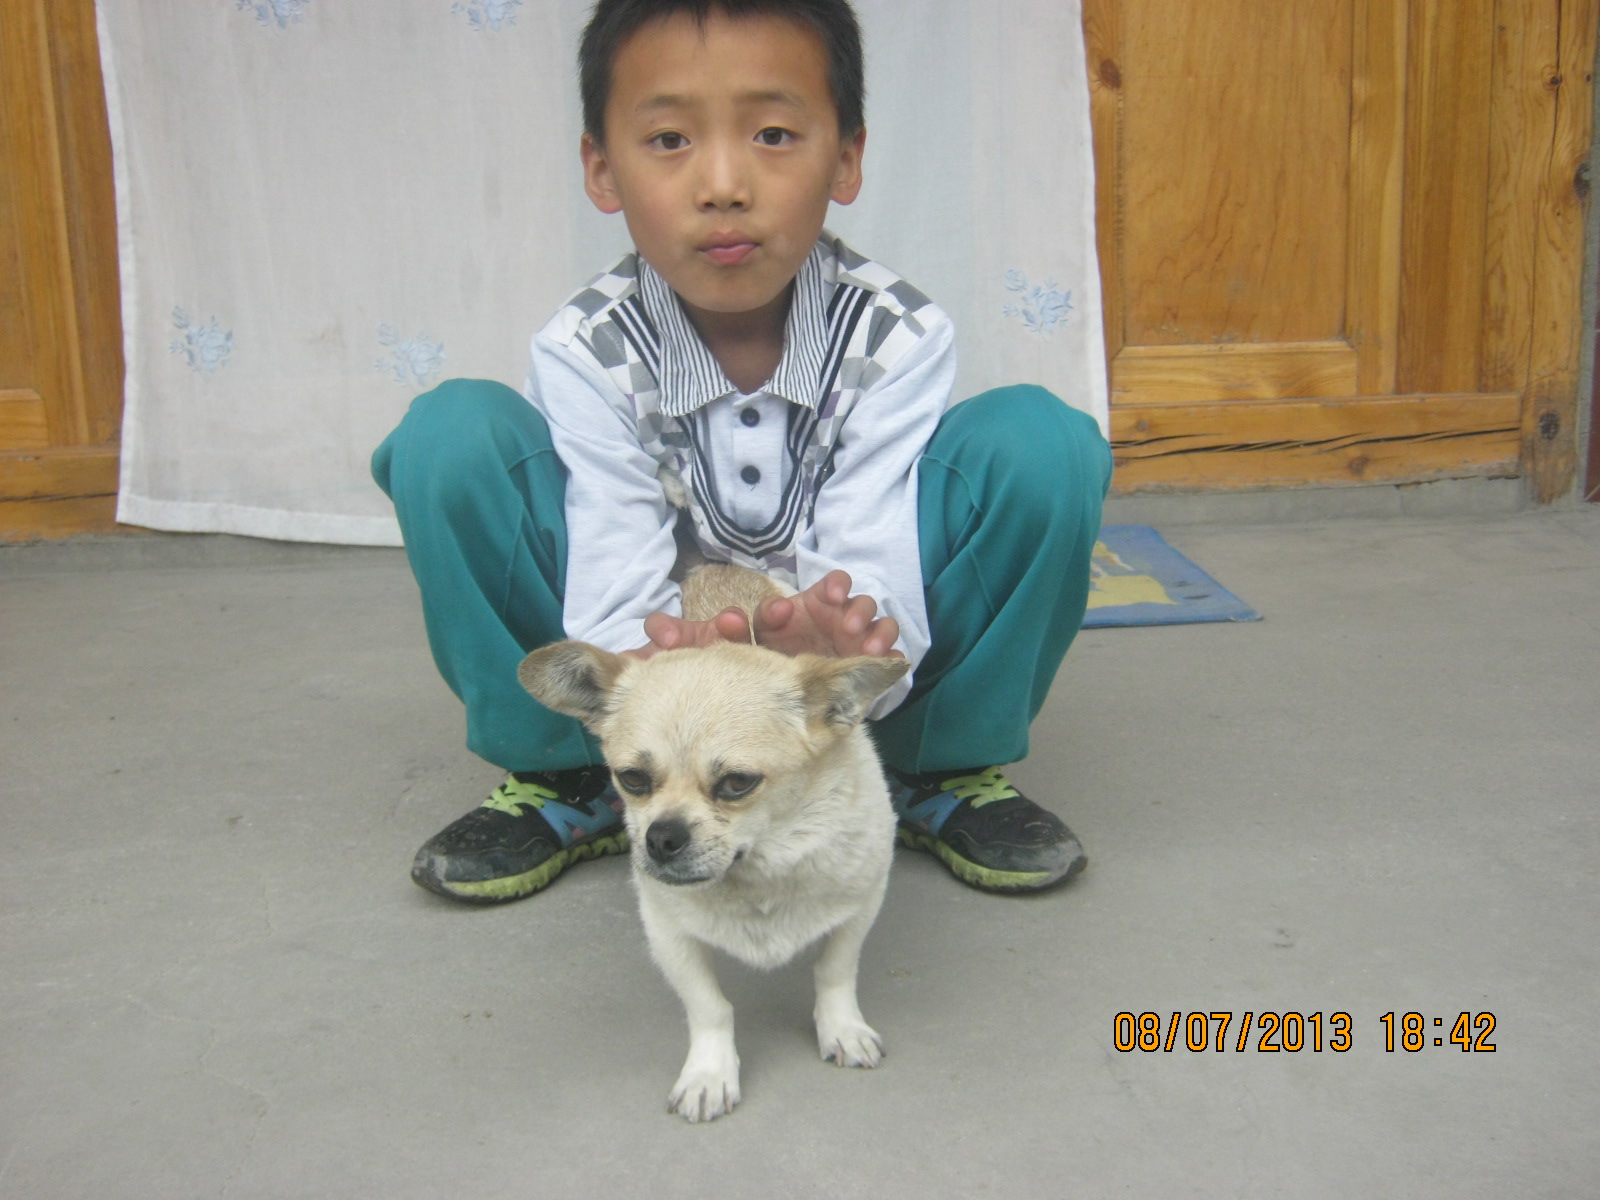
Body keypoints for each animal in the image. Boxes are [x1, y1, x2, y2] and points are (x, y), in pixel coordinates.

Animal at [518, 565, 908, 1122]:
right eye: (632, 779)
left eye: (738, 784)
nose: (662, 837)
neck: (759, 870)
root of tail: (715, 569)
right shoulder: (668, 936)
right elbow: (709, 1007)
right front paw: (709, 1074)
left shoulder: (861, 906)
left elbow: (835, 970)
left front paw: (841, 1029)